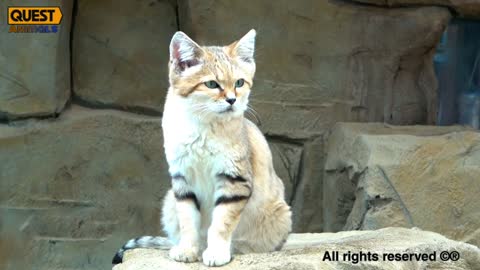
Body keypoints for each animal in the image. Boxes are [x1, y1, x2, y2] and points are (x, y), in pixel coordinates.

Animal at [113, 30, 292, 268]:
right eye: (212, 85)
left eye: (239, 82)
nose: (232, 100)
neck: (203, 126)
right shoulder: (182, 180)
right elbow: (188, 221)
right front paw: (188, 250)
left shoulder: (234, 180)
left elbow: (221, 223)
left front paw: (216, 251)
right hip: (169, 200)